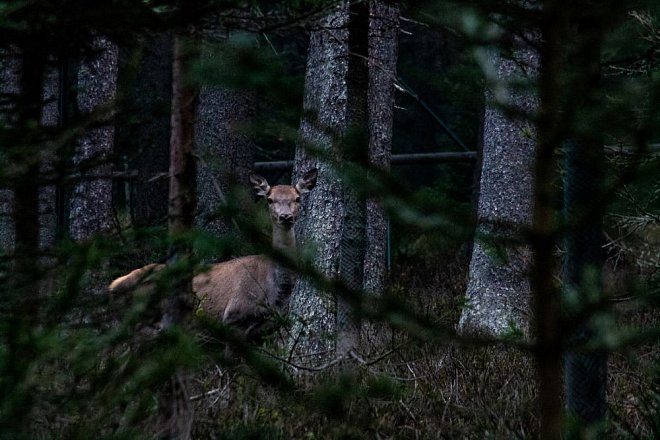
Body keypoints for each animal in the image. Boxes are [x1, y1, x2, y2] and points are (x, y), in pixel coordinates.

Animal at [109, 168, 320, 340]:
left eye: (297, 198)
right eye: (270, 199)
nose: (285, 217)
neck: (277, 291)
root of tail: (112, 286)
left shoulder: (267, 327)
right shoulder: (234, 315)